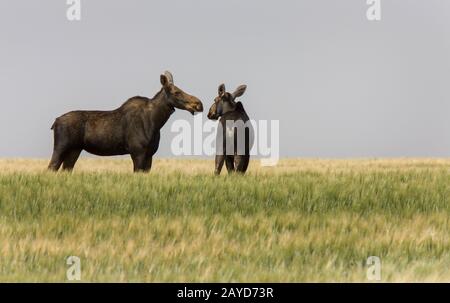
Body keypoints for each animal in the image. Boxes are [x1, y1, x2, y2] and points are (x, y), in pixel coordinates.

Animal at [48, 70, 203, 172]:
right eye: (177, 92)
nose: (198, 104)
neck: (156, 122)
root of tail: (55, 122)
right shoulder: (137, 152)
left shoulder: (149, 155)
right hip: (61, 147)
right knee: (51, 168)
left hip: (74, 150)